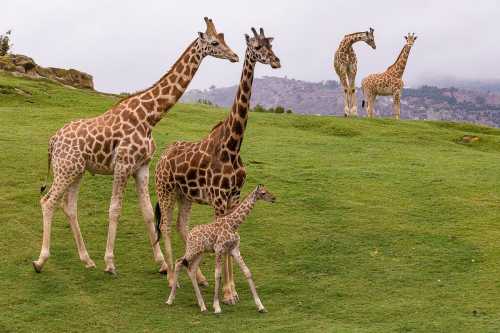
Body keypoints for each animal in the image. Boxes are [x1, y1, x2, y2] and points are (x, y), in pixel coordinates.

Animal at [33, 16, 240, 274]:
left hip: (76, 170)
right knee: (48, 201)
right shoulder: (123, 164)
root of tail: (52, 141)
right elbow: (115, 210)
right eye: (214, 42)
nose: (235, 56)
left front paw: (162, 264)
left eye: (224, 39)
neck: (150, 117)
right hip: (65, 169)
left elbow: (149, 213)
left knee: (68, 206)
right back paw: (41, 260)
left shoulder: (142, 167)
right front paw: (110, 263)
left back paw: (87, 259)